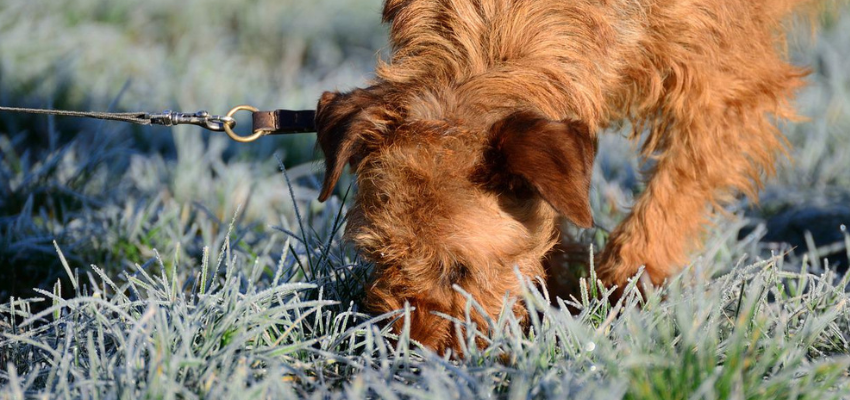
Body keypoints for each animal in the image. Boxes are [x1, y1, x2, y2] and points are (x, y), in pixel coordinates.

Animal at [314, 0, 828, 354]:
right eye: (378, 256)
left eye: (459, 269)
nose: (412, 353)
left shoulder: (723, 90)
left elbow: (666, 203)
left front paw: (620, 300)